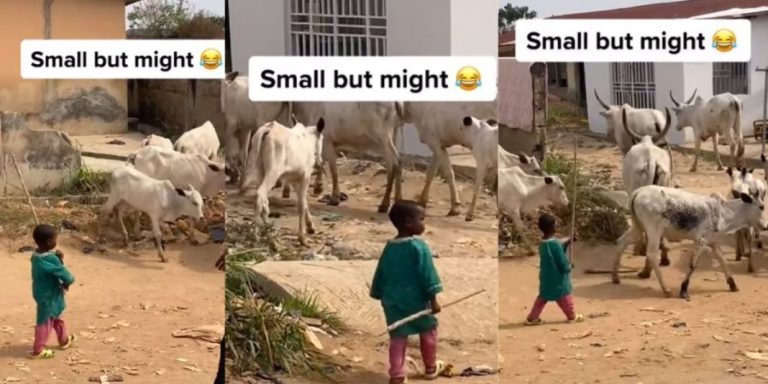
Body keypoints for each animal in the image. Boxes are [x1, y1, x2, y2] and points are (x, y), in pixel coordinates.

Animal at [240, 118, 324, 246]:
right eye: (322, 139)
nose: (320, 161)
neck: (308, 139)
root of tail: (268, 128)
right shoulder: (305, 176)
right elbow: (301, 205)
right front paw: (302, 237)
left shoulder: (294, 179)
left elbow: (304, 202)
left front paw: (310, 227)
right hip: (273, 172)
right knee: (260, 195)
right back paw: (257, 236)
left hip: (260, 171)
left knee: (265, 202)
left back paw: (269, 233)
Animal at [608, 184, 764, 298]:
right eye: (761, 206)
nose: (765, 225)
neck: (723, 213)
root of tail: (638, 192)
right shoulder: (700, 242)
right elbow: (692, 265)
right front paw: (683, 290)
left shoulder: (713, 242)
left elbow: (723, 261)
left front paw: (732, 284)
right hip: (653, 231)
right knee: (651, 254)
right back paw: (666, 289)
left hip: (637, 226)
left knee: (621, 242)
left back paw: (615, 277)